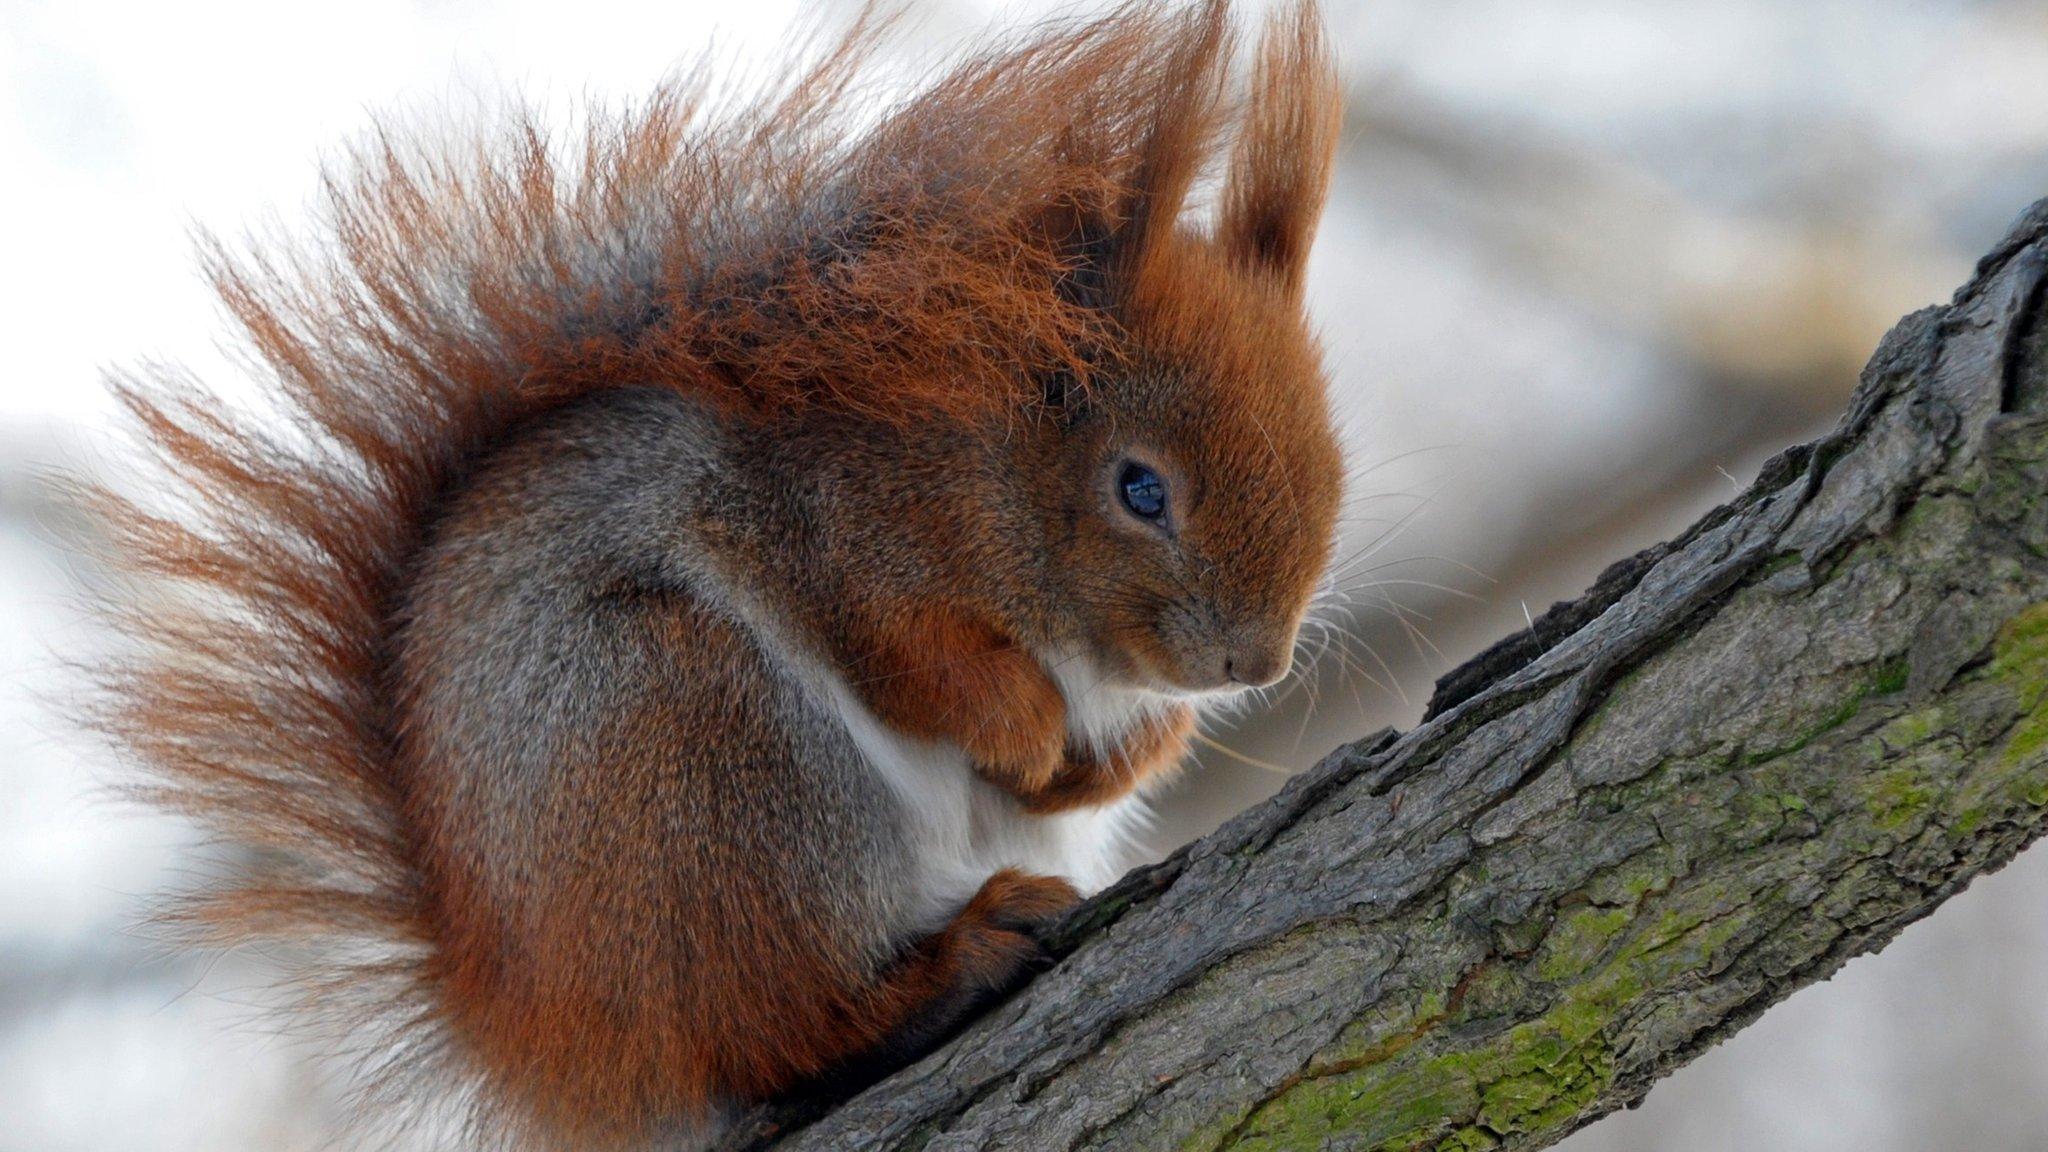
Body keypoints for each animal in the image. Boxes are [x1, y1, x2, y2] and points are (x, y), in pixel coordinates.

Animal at [92, 4, 1343, 1139]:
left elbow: (1116, 757)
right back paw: (945, 969)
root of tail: (549, 1031)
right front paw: (1025, 727)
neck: (986, 464)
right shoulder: (832, 533)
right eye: (1140, 489)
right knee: (777, 1030)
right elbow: (912, 662)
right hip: (708, 756)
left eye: (1331, 455)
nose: (1255, 663)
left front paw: (1104, 757)